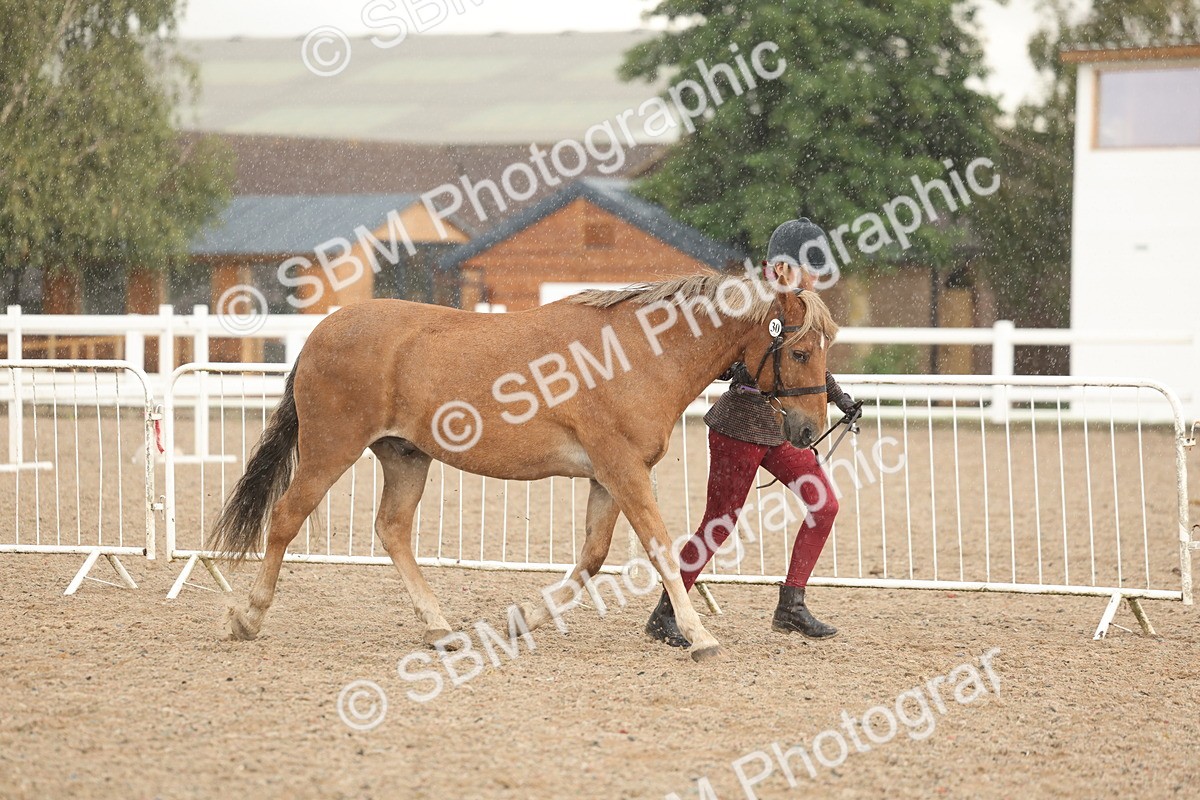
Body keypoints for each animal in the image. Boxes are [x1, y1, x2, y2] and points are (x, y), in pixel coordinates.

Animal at [212, 269, 838, 661]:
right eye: (801, 350)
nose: (808, 430)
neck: (637, 354)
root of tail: (322, 332)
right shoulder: (624, 470)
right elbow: (660, 548)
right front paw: (699, 634)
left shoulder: (606, 476)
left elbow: (592, 558)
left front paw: (523, 620)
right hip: (330, 448)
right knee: (286, 518)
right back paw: (248, 617)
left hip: (406, 456)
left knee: (391, 529)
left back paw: (441, 629)